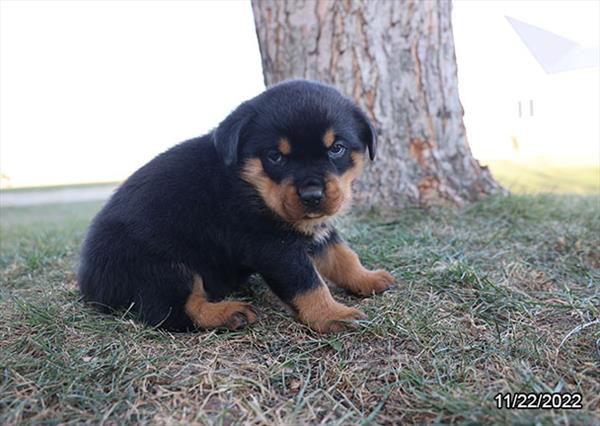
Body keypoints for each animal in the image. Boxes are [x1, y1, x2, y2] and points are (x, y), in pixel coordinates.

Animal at [78, 79, 394, 332]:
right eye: (275, 156)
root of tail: (90, 285)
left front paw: (368, 278)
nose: (312, 195)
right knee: (172, 312)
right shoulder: (273, 247)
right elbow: (308, 283)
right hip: (163, 268)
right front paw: (332, 315)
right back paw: (229, 312)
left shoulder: (318, 228)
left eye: (337, 148)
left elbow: (342, 256)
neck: (249, 183)